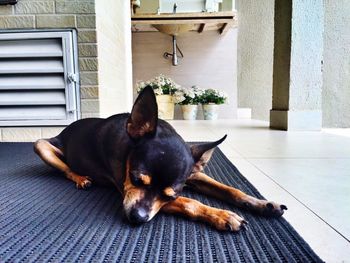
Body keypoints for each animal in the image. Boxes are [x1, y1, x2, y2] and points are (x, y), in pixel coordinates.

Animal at [33, 86, 288, 231]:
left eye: (170, 195)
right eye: (135, 179)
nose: (137, 217)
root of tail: (64, 131)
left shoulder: (194, 175)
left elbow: (230, 190)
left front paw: (263, 204)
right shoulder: (125, 191)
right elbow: (190, 202)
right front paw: (222, 215)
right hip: (41, 145)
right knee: (66, 169)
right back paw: (81, 178)